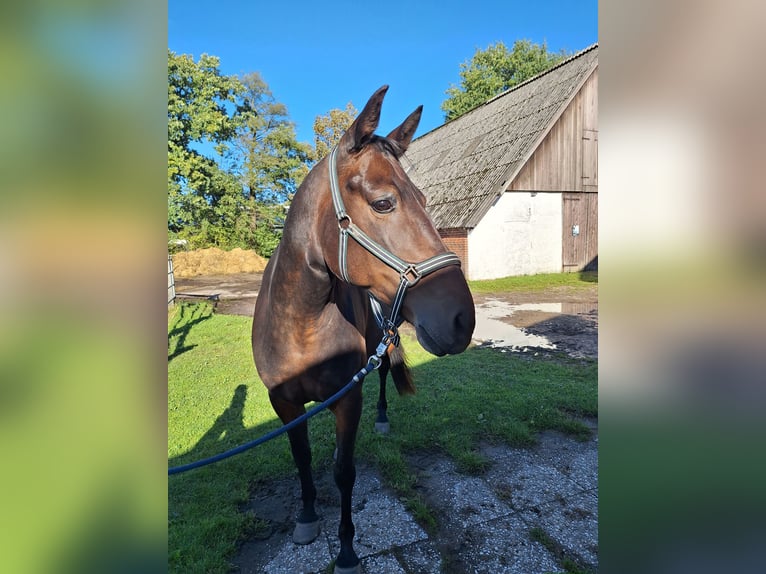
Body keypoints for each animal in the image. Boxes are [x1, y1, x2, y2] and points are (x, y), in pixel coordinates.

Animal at [255, 85, 476, 574]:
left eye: (426, 201)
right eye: (383, 203)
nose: (462, 319)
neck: (301, 325)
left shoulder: (348, 399)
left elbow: (344, 470)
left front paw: (347, 550)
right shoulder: (283, 403)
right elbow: (301, 458)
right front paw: (306, 517)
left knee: (383, 376)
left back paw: (383, 418)